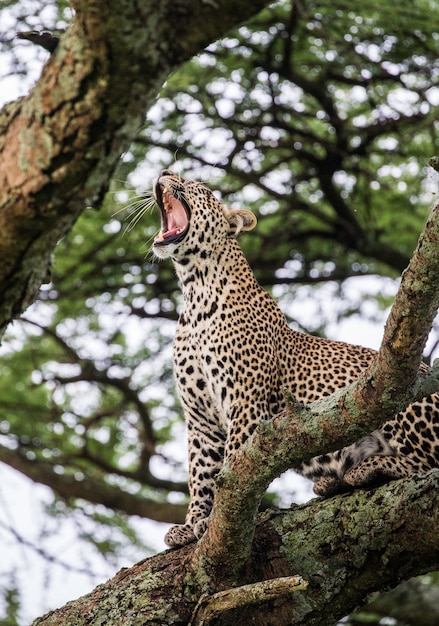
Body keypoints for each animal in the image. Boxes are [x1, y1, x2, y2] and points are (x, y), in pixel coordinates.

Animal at [152, 168, 439, 544]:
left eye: (199, 186)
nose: (165, 171)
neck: (195, 290)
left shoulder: (246, 402)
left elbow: (229, 470)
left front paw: (213, 520)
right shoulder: (200, 418)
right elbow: (200, 474)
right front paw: (191, 525)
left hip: (403, 399)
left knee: (428, 465)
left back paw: (367, 469)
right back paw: (333, 481)